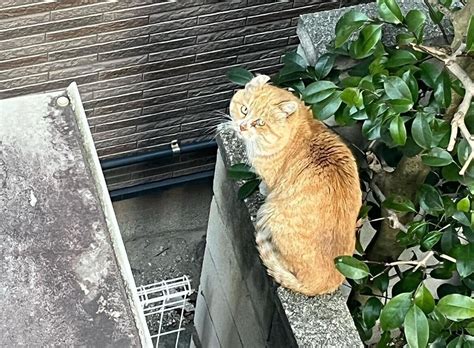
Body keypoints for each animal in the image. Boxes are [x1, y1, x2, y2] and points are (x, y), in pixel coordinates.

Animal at [228, 75, 362, 294]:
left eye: (260, 122)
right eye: (245, 110)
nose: (242, 126)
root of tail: (323, 284)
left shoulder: (270, 179)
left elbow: (266, 185)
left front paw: (262, 188)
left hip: (270, 213)